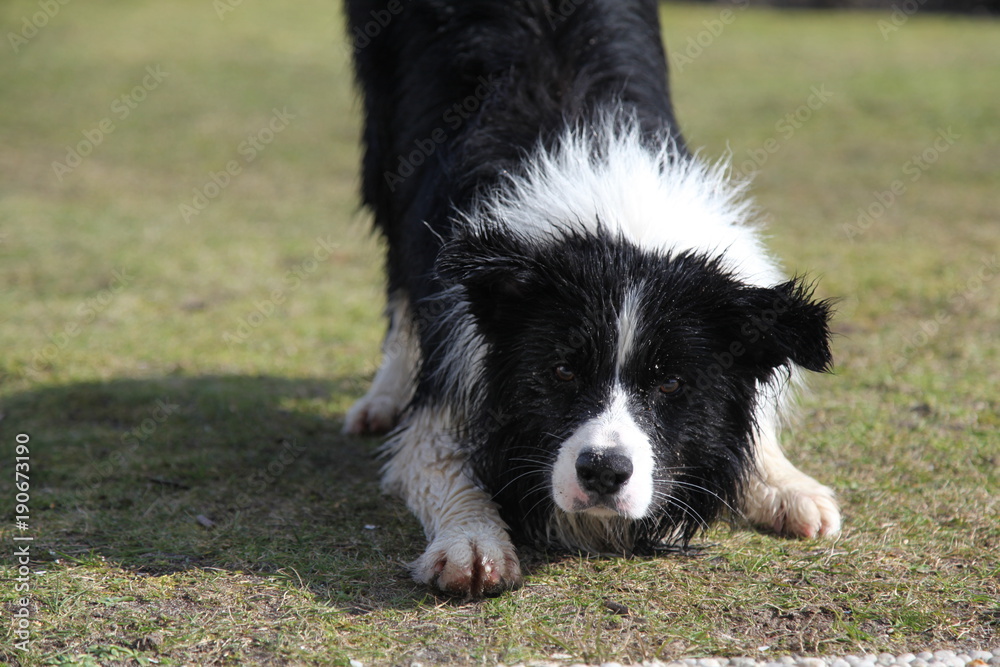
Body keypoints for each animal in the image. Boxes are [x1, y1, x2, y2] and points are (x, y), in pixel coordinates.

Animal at [342, 0, 836, 596]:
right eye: (561, 371)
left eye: (671, 383)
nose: (603, 471)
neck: (617, 223)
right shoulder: (455, 363)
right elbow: (438, 460)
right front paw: (472, 543)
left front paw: (789, 484)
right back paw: (382, 397)